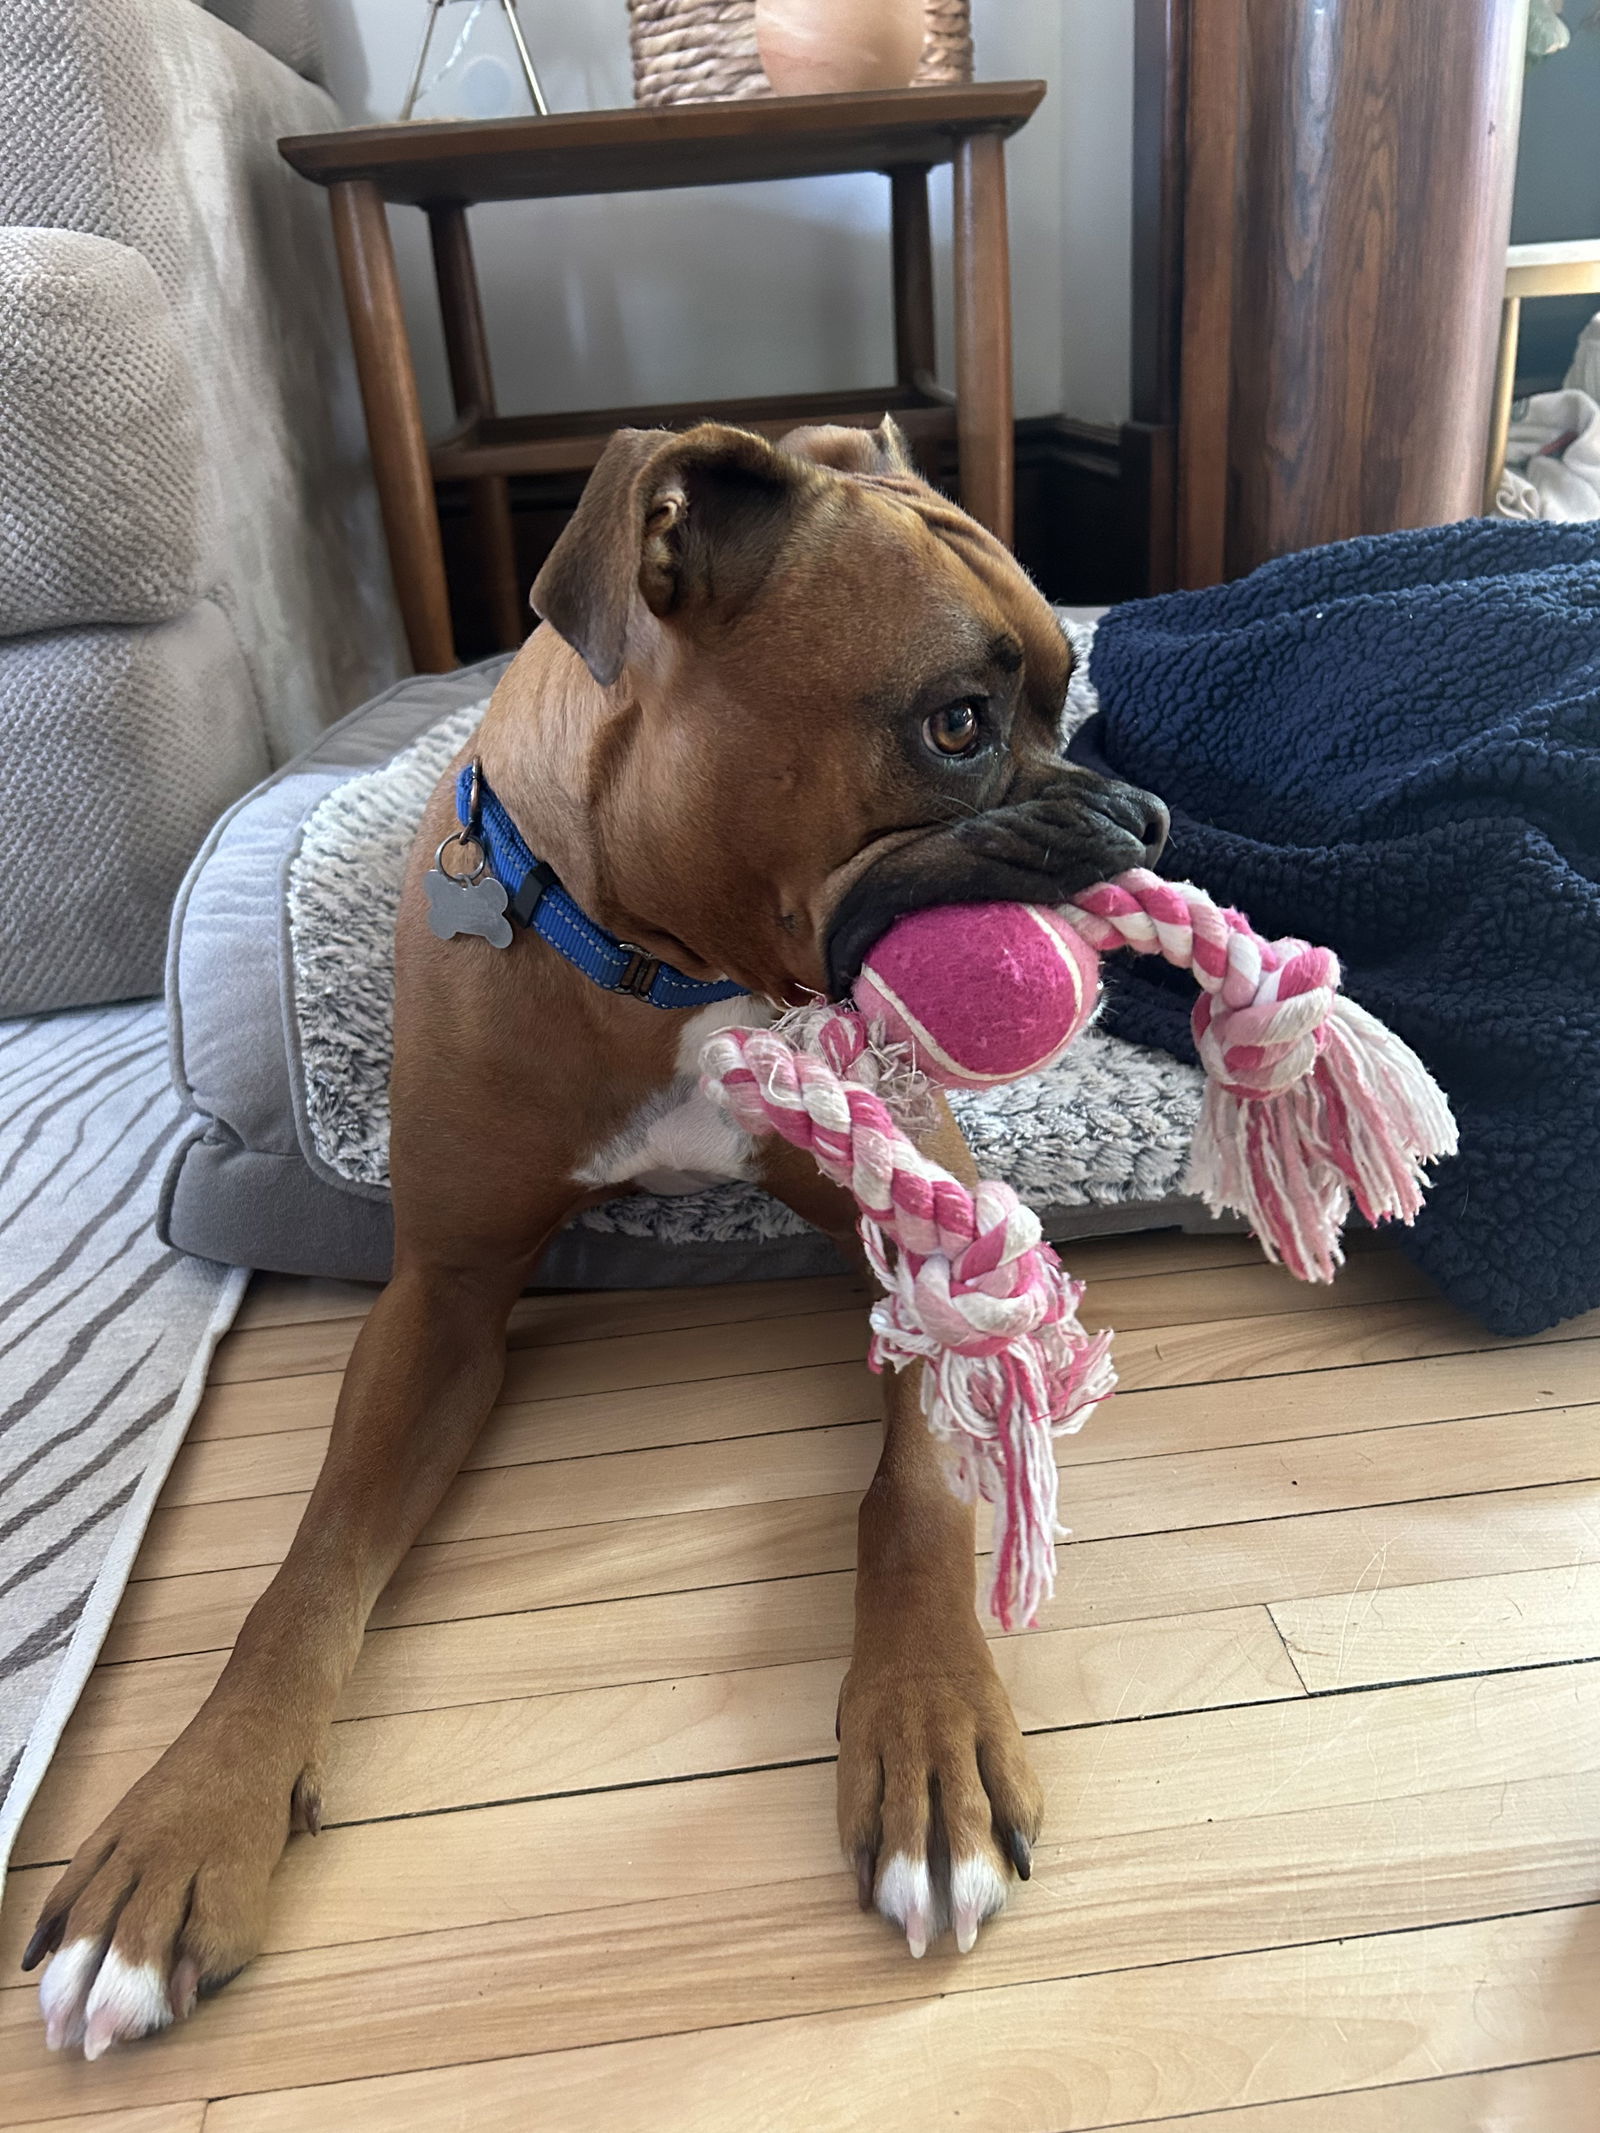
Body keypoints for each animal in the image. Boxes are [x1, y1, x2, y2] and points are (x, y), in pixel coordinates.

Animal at [28, 411, 1169, 2047]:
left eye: (1065, 694)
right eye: (956, 723)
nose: (1141, 815)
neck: (659, 963)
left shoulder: (930, 1238)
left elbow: (913, 1493)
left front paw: (931, 1729)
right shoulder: (436, 1305)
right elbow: (306, 1573)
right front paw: (190, 1818)